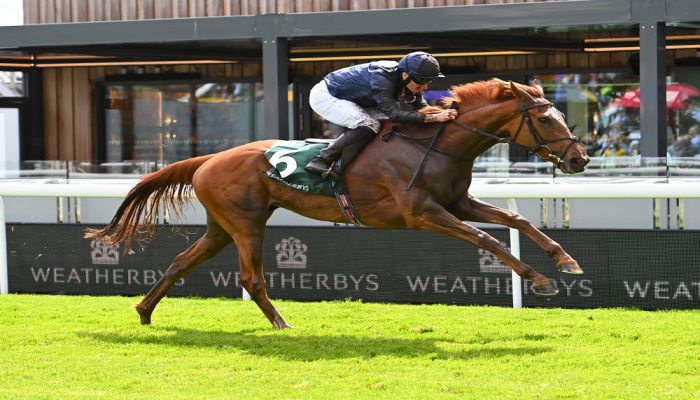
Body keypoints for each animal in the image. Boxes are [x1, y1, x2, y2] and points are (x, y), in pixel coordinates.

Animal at [87, 78, 592, 328]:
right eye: (547, 118)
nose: (580, 159)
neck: (437, 142)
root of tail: (209, 158)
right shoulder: (422, 213)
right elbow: (488, 238)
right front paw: (540, 280)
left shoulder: (457, 201)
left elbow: (514, 218)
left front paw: (565, 261)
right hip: (245, 224)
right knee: (251, 278)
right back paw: (283, 326)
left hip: (221, 226)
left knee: (181, 261)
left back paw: (144, 311)